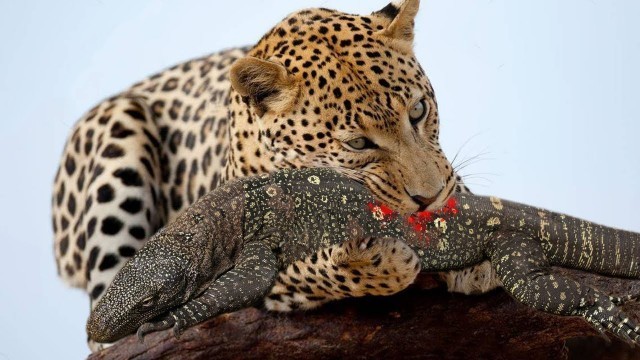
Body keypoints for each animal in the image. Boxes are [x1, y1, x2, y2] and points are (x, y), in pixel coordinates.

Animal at [52, 0, 498, 344]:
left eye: (418, 111)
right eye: (357, 144)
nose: (430, 196)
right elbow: (314, 266)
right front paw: (376, 260)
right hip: (118, 132)